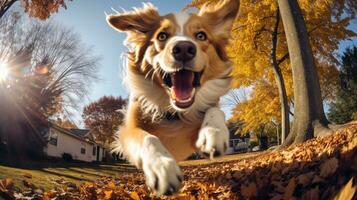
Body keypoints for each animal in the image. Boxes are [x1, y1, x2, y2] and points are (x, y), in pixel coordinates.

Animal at [106, 0, 239, 195]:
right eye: (162, 36)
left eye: (201, 35)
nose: (183, 49)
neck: (174, 113)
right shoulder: (127, 131)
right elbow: (148, 138)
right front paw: (162, 167)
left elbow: (215, 110)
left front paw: (213, 133)